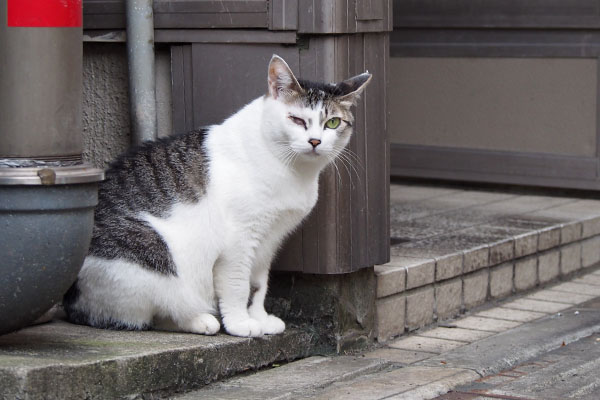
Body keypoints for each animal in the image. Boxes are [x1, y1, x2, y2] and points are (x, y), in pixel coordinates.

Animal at [62, 55, 370, 338]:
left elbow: (259, 284)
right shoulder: (239, 239)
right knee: (151, 309)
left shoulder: (269, 239)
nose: (315, 141)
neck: (293, 171)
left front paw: (259, 318)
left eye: (332, 123)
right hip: (150, 252)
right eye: (296, 119)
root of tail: (70, 301)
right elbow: (238, 285)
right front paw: (241, 324)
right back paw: (201, 319)